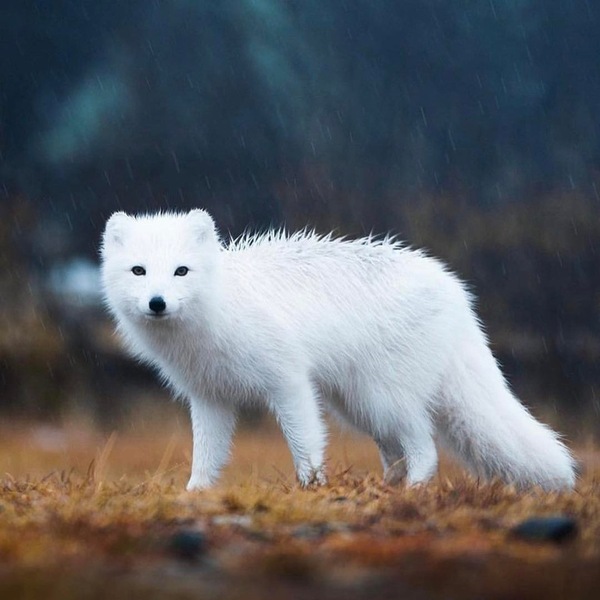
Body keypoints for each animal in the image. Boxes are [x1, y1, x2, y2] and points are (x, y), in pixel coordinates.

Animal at [99, 209, 576, 490]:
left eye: (181, 271)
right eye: (139, 271)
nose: (157, 303)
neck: (215, 314)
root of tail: (455, 291)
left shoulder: (289, 382)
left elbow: (305, 444)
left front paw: (311, 490)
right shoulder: (209, 397)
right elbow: (206, 458)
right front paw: (194, 498)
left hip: (383, 399)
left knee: (425, 448)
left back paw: (411, 493)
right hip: (359, 406)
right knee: (397, 453)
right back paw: (388, 489)